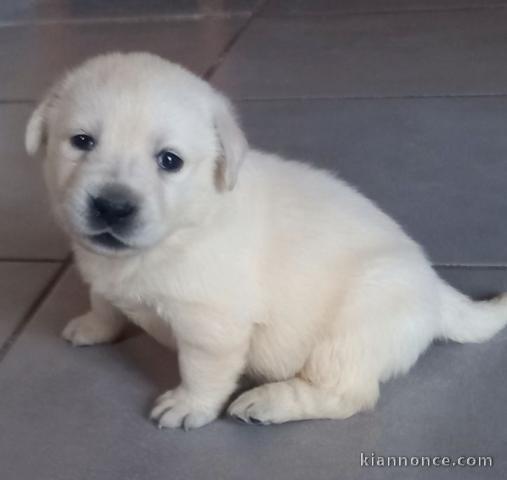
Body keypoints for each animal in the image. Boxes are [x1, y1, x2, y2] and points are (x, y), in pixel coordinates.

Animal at [26, 53, 507, 432]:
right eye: (82, 141)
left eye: (170, 161)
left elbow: (202, 369)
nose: (112, 206)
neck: (177, 232)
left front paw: (188, 405)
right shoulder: (102, 272)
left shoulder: (210, 324)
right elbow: (103, 300)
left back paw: (270, 402)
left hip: (351, 332)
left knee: (348, 393)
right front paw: (92, 325)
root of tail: (438, 292)